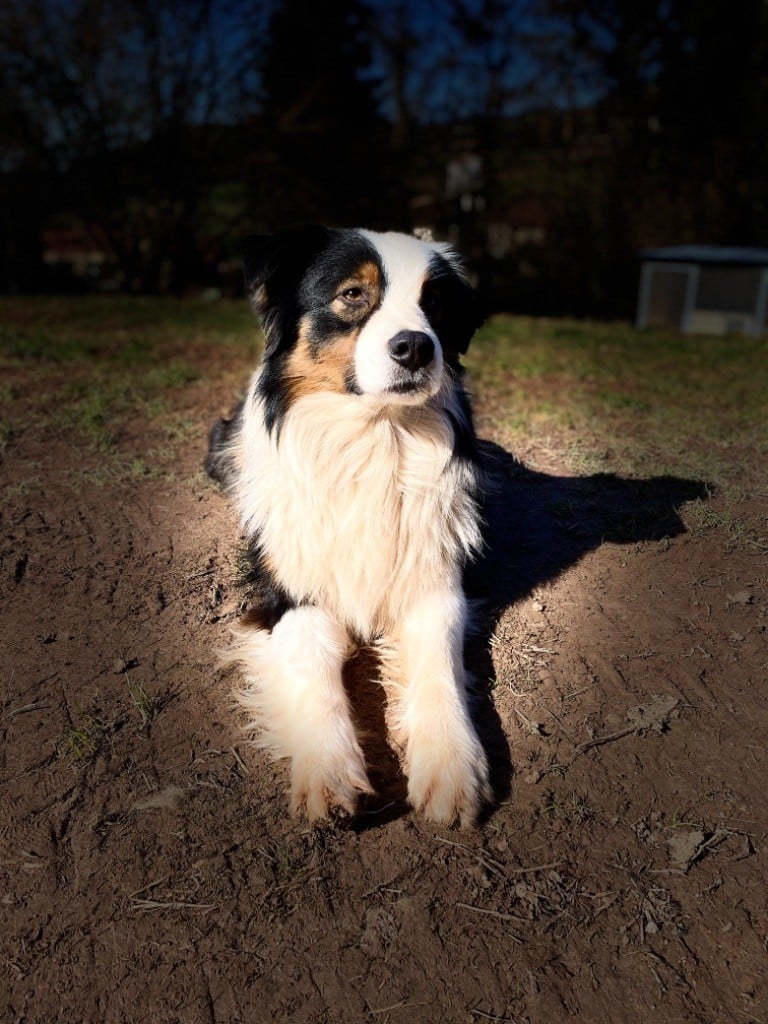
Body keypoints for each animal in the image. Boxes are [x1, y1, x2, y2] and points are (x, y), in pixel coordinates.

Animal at [205, 228, 493, 827]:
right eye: (353, 294)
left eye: (435, 302)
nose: (415, 346)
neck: (372, 439)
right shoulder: (290, 593)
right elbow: (314, 668)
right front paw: (327, 767)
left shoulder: (435, 581)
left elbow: (439, 662)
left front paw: (452, 764)